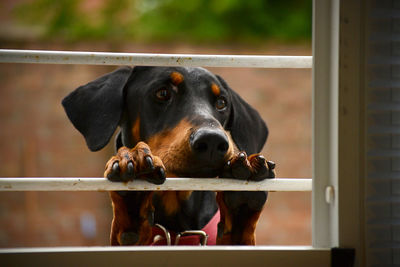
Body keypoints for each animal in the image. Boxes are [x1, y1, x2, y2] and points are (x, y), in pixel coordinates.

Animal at [61, 66, 276, 246]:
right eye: (163, 93)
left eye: (221, 102)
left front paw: (241, 200)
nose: (213, 141)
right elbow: (129, 232)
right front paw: (132, 160)